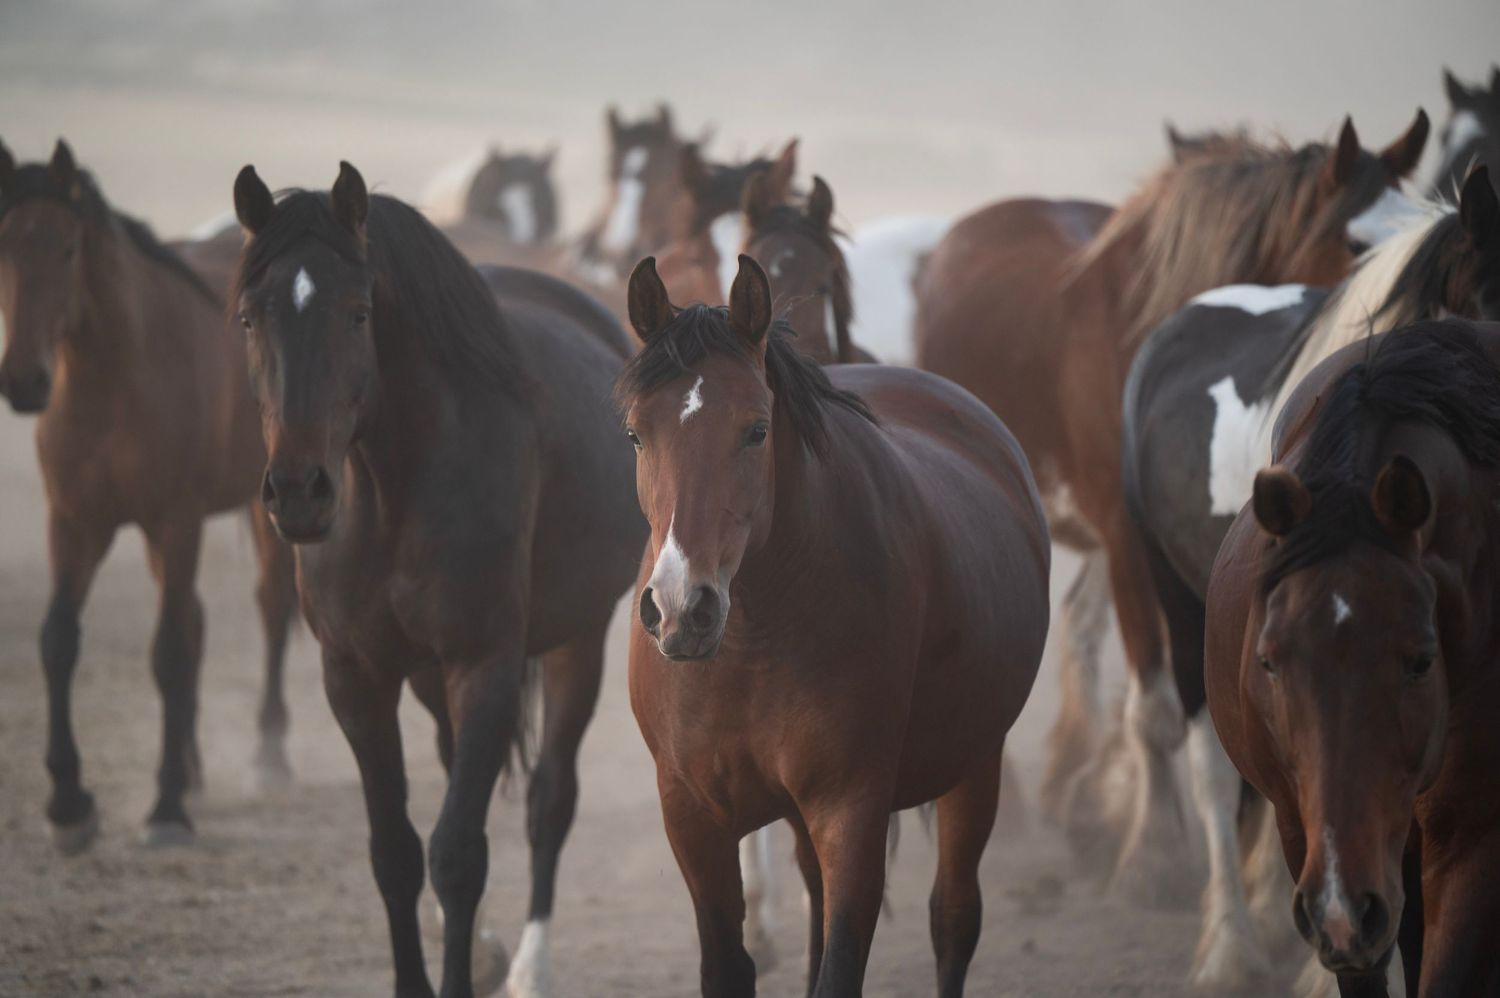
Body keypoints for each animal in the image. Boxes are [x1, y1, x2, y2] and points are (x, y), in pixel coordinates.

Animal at [0, 139, 297, 853]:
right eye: (2, 247)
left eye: (67, 248)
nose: (23, 380)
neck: (116, 376)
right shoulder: (73, 523)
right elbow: (58, 640)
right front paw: (69, 805)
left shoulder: (175, 521)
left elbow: (168, 651)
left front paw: (165, 810)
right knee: (197, 617)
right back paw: (193, 769)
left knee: (272, 607)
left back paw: (268, 756)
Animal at [229, 161, 646, 998]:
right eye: (251, 318)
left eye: (358, 314)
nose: (297, 492)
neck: (394, 485)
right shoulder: (356, 678)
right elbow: (395, 850)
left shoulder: (483, 667)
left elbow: (457, 855)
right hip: (427, 677)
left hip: (576, 641)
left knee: (550, 798)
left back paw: (529, 967)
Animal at [619, 254, 1049, 997]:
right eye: (636, 433)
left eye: (757, 429)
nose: (680, 607)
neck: (752, 641)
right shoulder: (693, 818)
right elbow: (731, 965)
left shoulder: (850, 812)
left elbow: (841, 963)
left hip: (976, 764)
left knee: (953, 919)